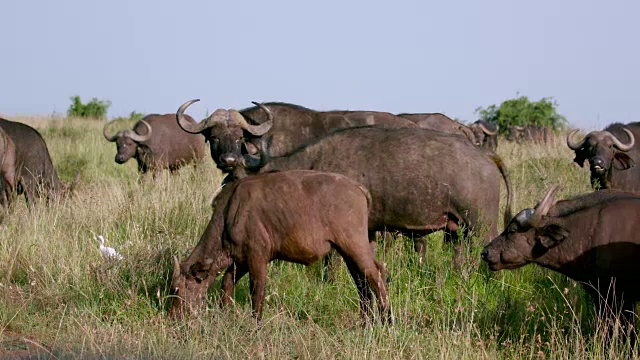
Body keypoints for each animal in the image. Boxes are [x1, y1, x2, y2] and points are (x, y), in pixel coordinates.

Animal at [170, 170, 390, 322]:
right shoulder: (240, 261)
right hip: (347, 252)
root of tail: (359, 188)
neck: (230, 213)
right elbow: (227, 282)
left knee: (376, 273)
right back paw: (364, 321)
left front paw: (256, 321)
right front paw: (226, 310)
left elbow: (256, 289)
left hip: (354, 245)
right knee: (361, 281)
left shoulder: (257, 258)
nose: (174, 316)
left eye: (178, 289)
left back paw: (387, 319)